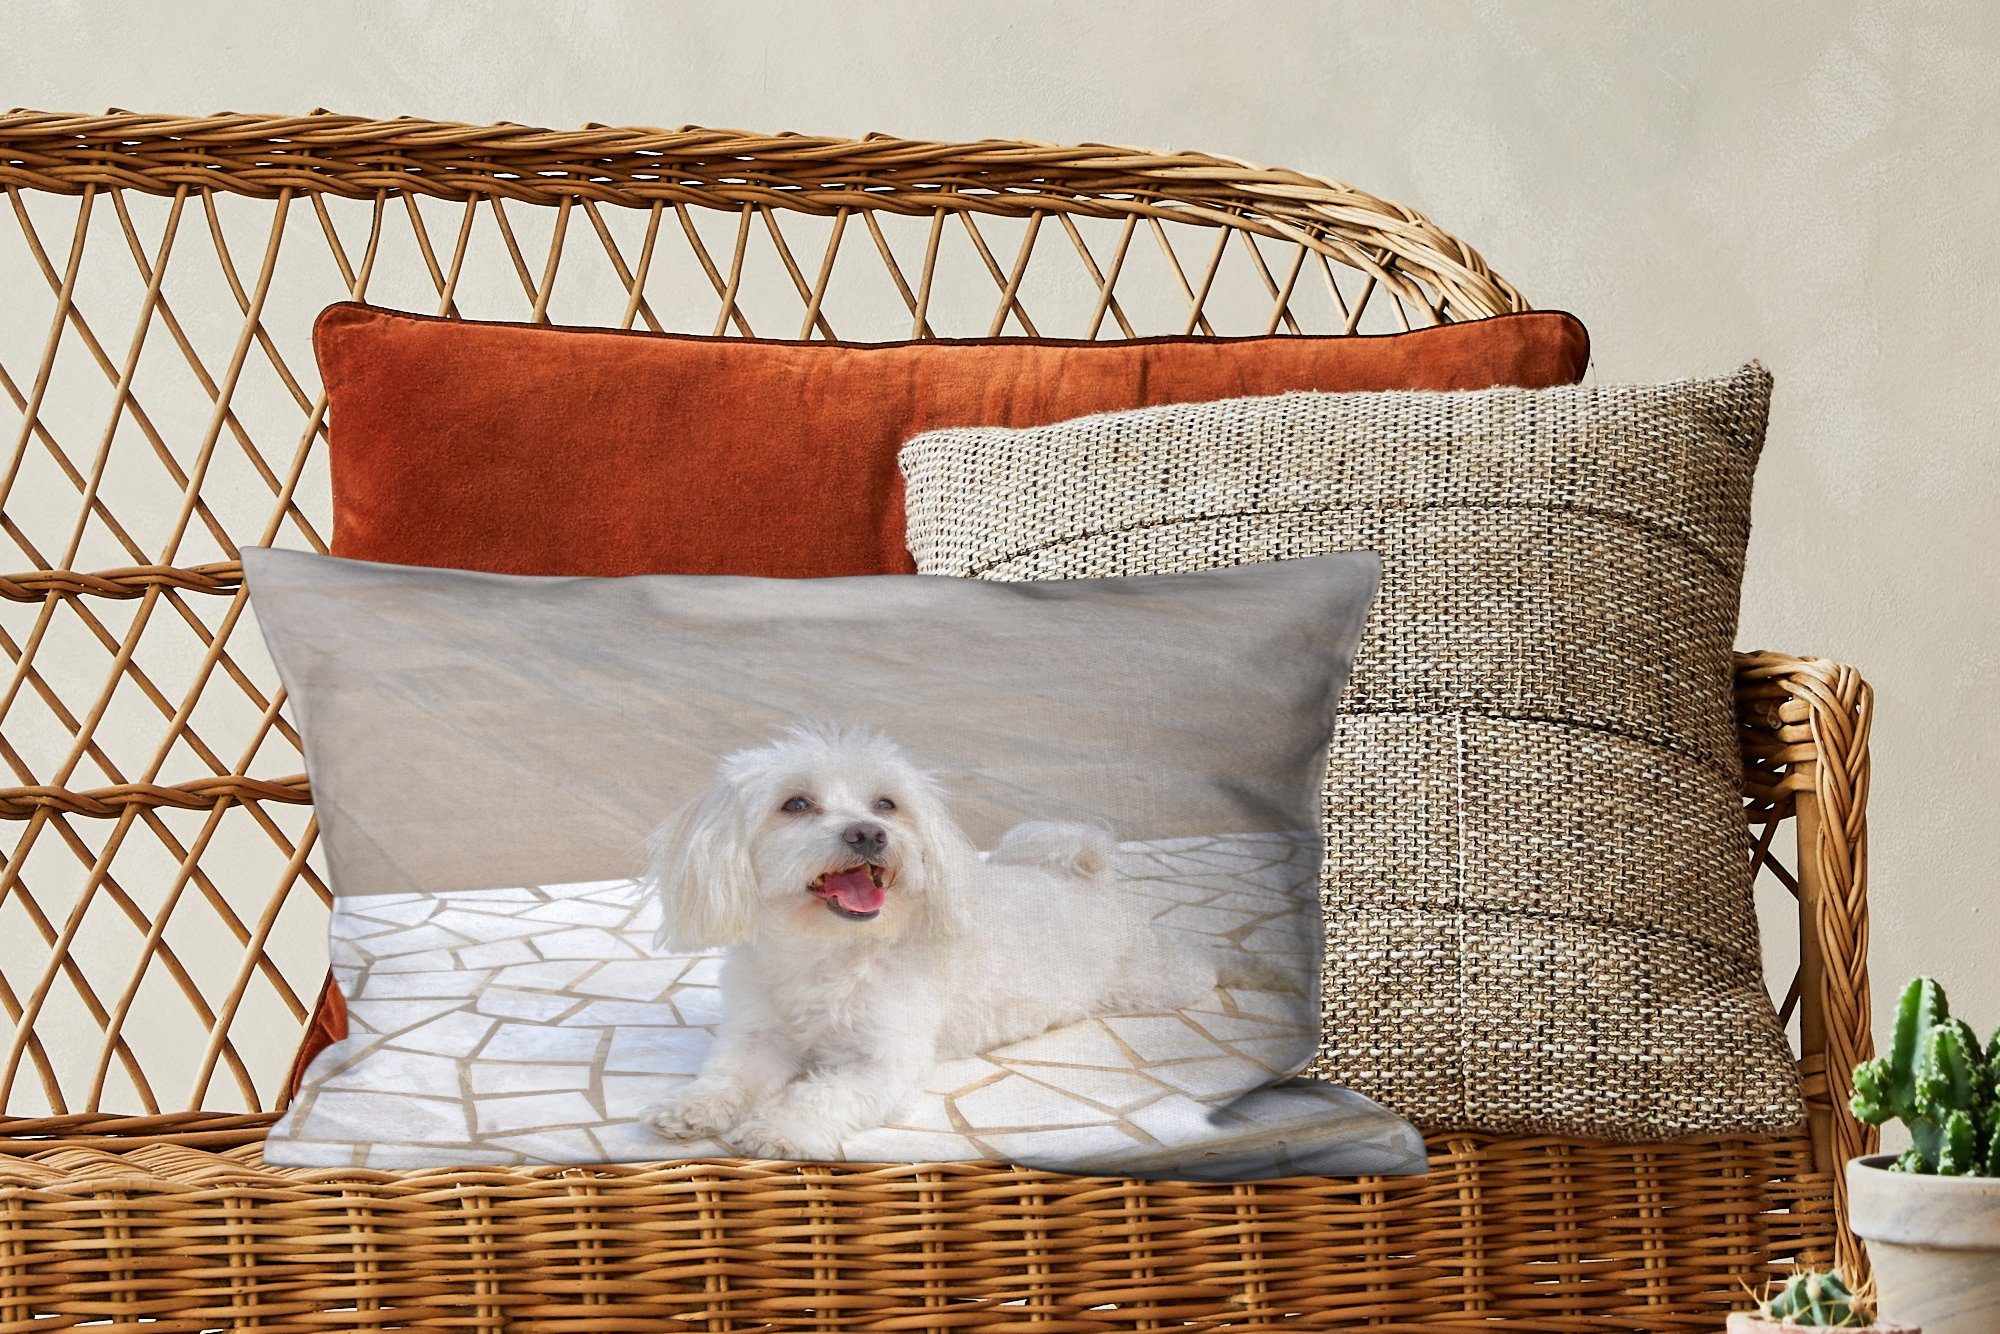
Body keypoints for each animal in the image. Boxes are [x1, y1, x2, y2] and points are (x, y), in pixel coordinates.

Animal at [648, 720, 1288, 1160]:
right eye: (796, 803)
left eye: (887, 803)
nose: (869, 833)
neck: (827, 953)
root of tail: (1086, 873)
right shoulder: (757, 1037)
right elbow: (728, 1077)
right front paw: (692, 1107)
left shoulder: (885, 1062)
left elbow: (819, 1096)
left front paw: (778, 1129)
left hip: (1155, 984)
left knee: (1205, 963)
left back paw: (1262, 969)